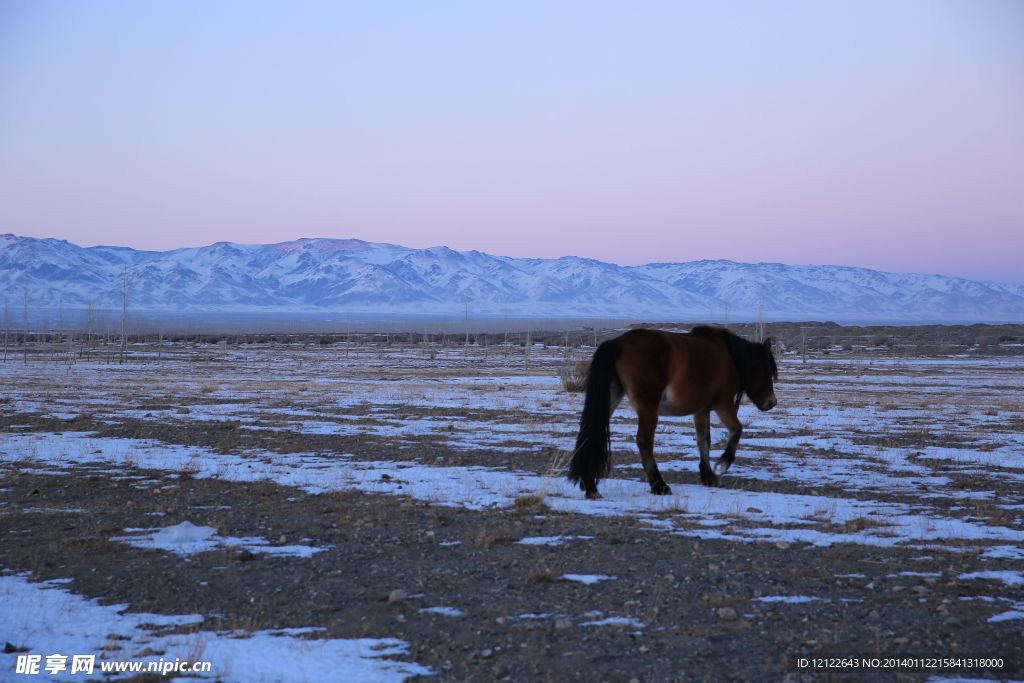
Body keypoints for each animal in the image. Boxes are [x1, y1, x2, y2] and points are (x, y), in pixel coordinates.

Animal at [569, 325, 774, 497]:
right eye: (767, 371)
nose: (772, 402)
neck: (729, 357)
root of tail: (618, 343)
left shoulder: (701, 410)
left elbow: (704, 441)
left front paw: (708, 476)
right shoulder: (723, 404)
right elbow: (736, 430)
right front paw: (721, 466)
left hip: (611, 398)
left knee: (591, 433)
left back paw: (591, 487)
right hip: (649, 408)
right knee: (644, 441)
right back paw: (659, 485)